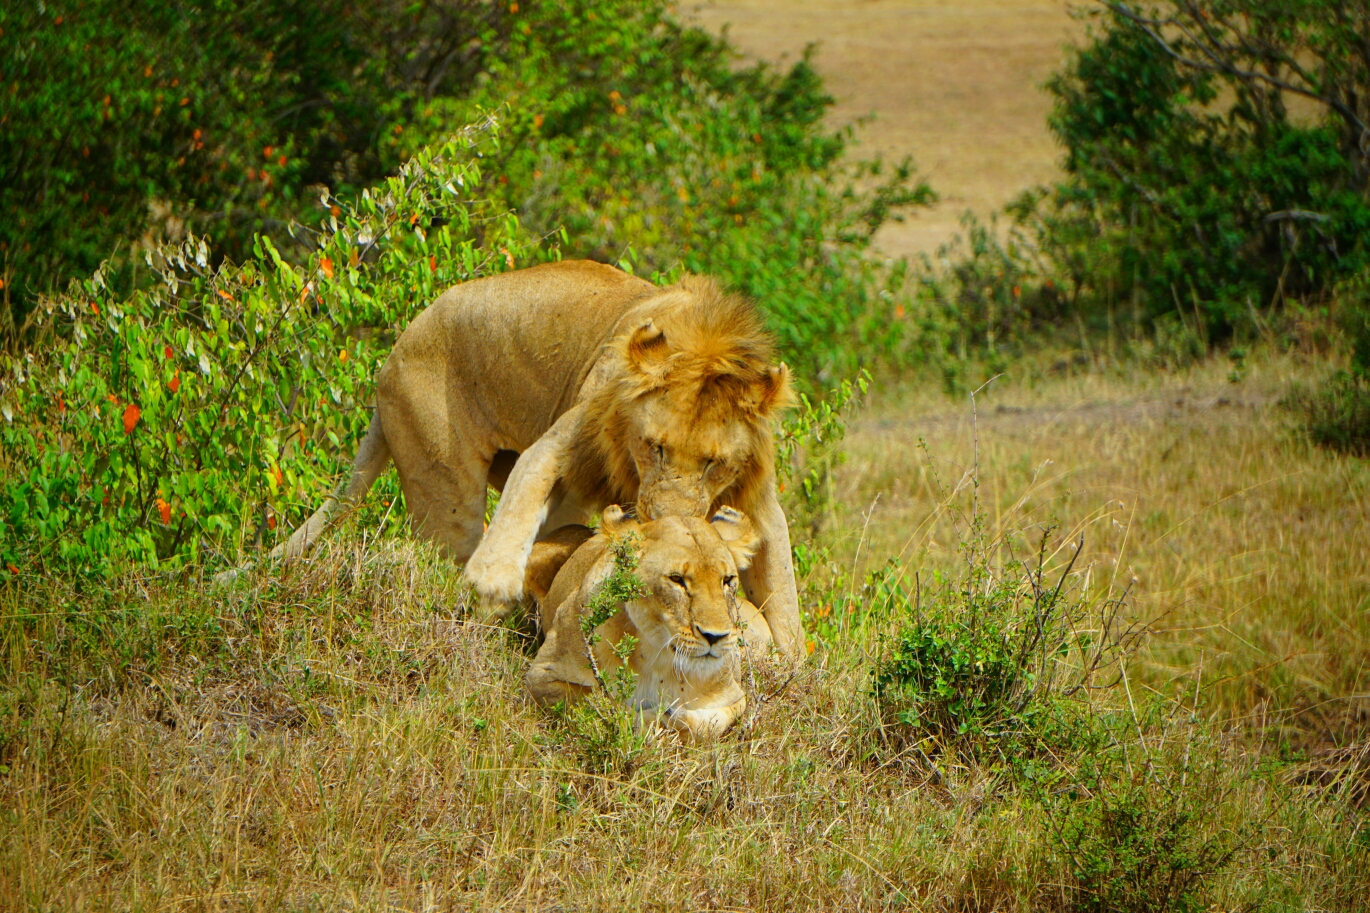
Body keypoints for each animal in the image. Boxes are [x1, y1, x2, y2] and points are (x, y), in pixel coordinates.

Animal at [280, 256, 800, 655]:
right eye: (655, 447)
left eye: (713, 463)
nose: (666, 523)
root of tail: (391, 355)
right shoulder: (572, 432)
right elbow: (527, 484)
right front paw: (493, 586)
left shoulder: (758, 497)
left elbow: (782, 585)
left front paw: (788, 664)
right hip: (444, 488)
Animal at [520, 504, 767, 740]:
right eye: (676, 579)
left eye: (727, 580)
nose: (715, 637)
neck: (657, 656)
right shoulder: (541, 678)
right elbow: (601, 702)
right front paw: (651, 720)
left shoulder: (734, 696)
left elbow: (706, 726)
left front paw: (673, 719)